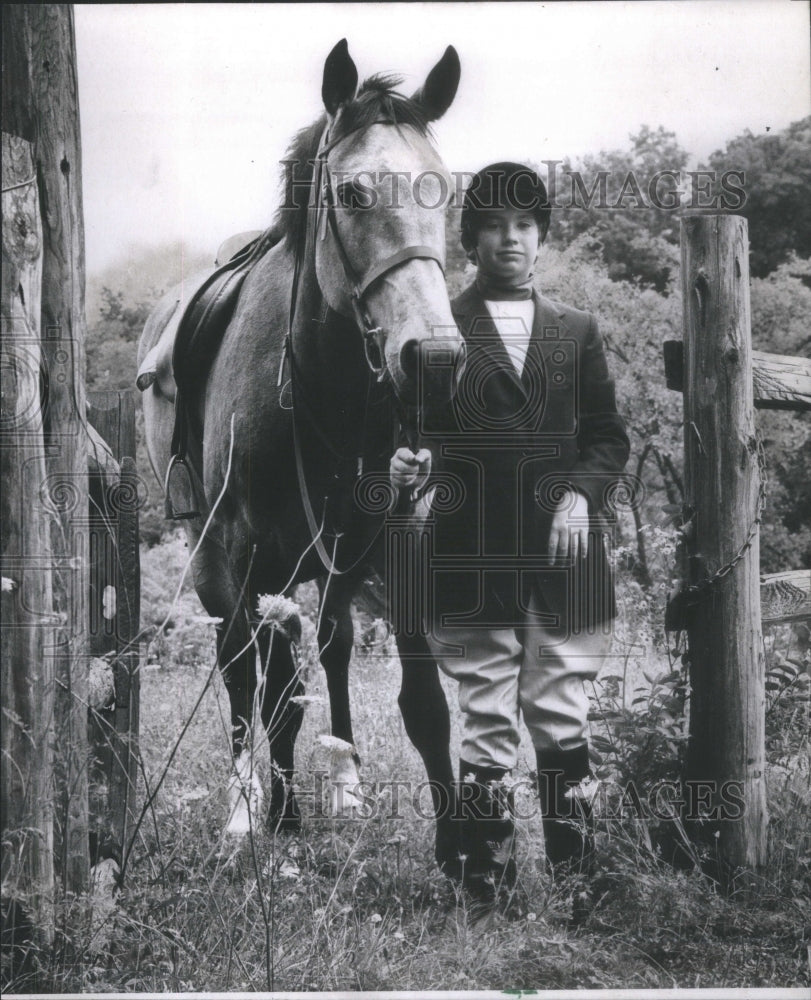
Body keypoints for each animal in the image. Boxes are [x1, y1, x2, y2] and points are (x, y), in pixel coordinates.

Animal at [137, 40, 465, 866]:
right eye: (351, 193)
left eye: (445, 192)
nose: (434, 360)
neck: (322, 385)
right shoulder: (256, 553)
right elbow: (276, 692)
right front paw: (279, 813)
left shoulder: (394, 535)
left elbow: (421, 698)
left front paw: (461, 847)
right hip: (216, 555)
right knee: (237, 663)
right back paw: (245, 805)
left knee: (333, 644)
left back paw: (341, 783)